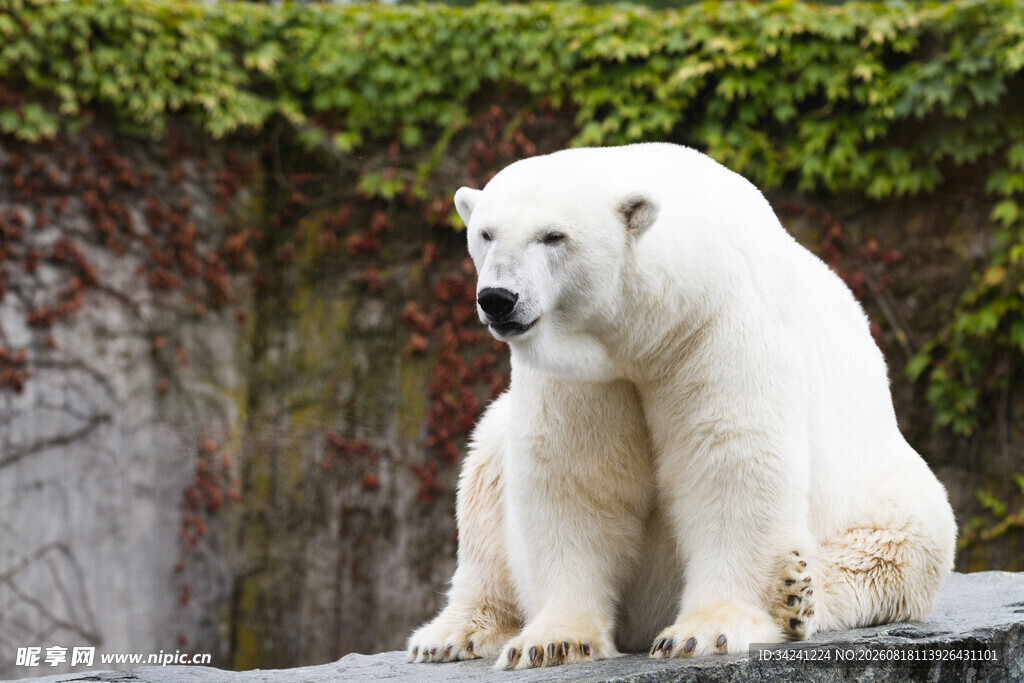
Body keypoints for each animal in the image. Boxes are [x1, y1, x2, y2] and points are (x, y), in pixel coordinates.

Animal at [407, 142, 956, 669]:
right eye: (486, 233)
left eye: (553, 236)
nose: (498, 298)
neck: (653, 324)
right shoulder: (586, 375)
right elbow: (575, 474)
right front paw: (552, 641)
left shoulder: (717, 323)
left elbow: (731, 457)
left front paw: (704, 632)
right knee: (486, 469)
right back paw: (451, 634)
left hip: (884, 489)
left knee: (898, 547)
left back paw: (796, 594)